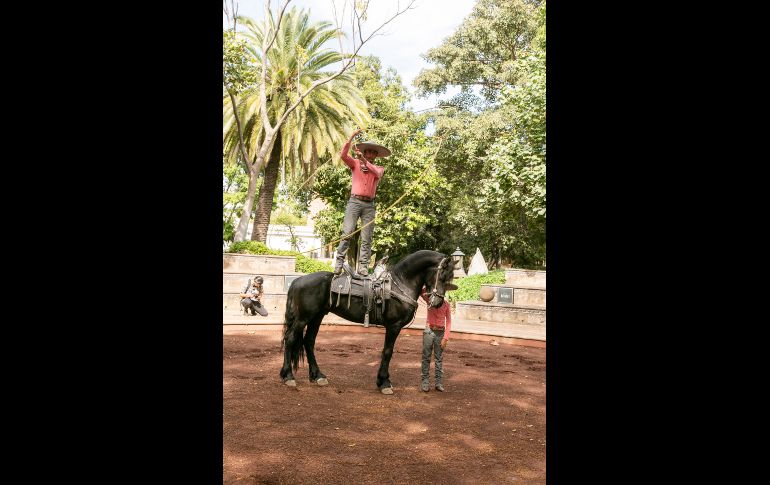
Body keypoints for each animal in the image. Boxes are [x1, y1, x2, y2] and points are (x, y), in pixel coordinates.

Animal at [280, 250, 456, 394]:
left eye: (450, 278)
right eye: (442, 276)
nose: (438, 303)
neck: (399, 284)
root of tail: (297, 280)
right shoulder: (394, 326)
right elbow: (387, 352)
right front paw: (384, 382)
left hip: (316, 317)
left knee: (309, 342)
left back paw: (318, 376)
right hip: (303, 318)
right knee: (290, 339)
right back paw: (288, 376)